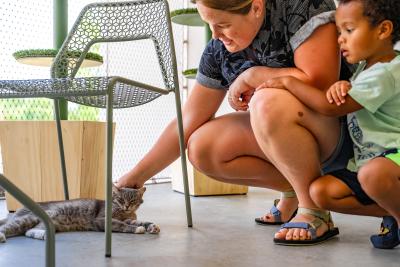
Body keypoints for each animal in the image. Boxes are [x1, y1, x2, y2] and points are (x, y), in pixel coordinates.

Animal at [0, 185, 159, 244]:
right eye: (121, 199)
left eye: (132, 200)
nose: (127, 206)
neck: (123, 212)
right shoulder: (103, 219)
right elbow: (121, 224)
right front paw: (137, 229)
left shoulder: (129, 218)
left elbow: (139, 221)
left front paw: (152, 226)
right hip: (28, 219)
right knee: (7, 228)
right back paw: (1, 236)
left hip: (46, 223)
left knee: (29, 231)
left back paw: (45, 235)